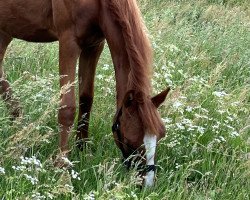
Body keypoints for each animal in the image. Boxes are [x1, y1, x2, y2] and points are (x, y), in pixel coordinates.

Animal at [0, 0, 170, 186]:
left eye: (161, 135)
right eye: (130, 142)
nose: (147, 184)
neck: (98, 5)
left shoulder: (94, 45)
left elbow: (86, 98)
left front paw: (82, 148)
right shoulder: (68, 42)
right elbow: (67, 108)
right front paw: (62, 166)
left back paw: (18, 118)